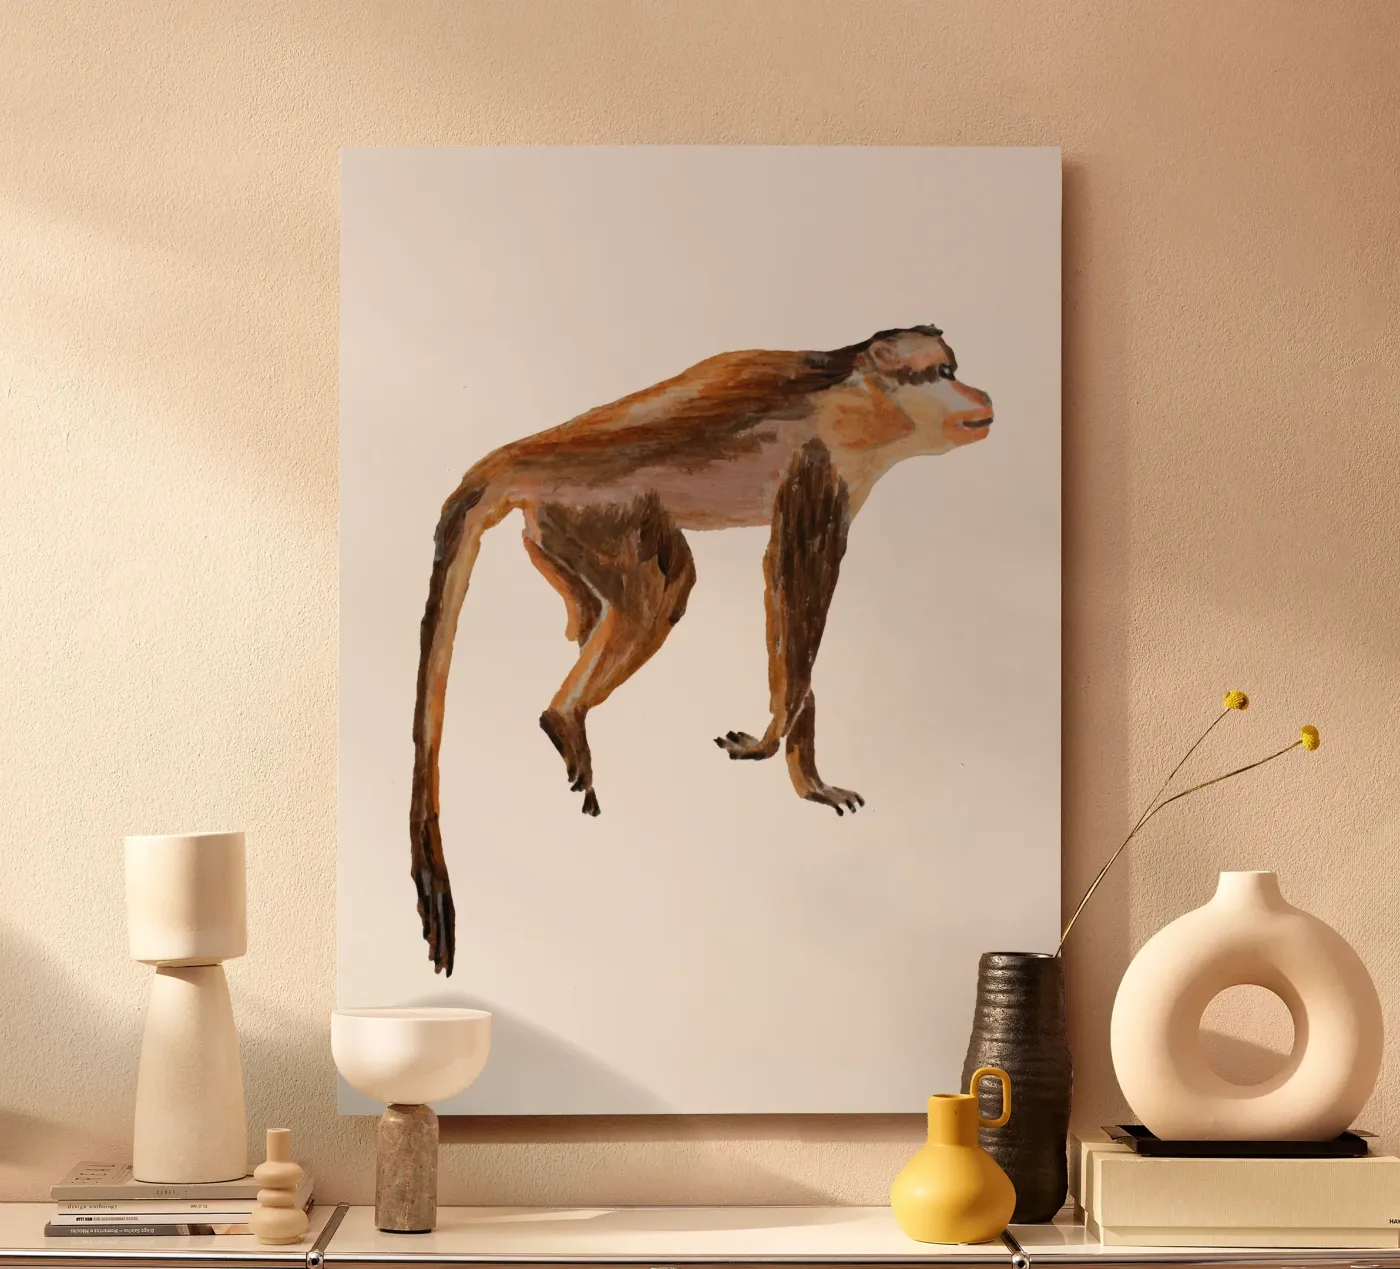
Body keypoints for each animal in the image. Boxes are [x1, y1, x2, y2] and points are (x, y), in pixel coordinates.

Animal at [410, 324, 993, 973]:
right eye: (945, 373)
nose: (979, 395)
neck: (858, 389)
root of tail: (521, 455)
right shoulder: (821, 460)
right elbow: (791, 581)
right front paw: (771, 741)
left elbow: (789, 609)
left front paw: (807, 776)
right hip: (596, 505)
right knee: (664, 588)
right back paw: (563, 715)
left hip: (556, 526)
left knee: (606, 602)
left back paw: (576, 662)